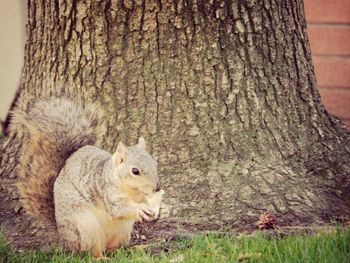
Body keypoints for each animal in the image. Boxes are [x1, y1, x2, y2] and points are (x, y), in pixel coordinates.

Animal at [11, 98, 169, 260]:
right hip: (85, 227)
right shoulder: (108, 192)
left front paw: (163, 209)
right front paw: (140, 208)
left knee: (113, 248)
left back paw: (130, 249)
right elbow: (118, 209)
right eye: (135, 171)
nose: (157, 188)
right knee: (89, 252)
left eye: (155, 163)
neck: (133, 191)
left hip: (122, 230)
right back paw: (100, 258)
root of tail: (65, 241)